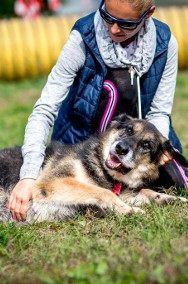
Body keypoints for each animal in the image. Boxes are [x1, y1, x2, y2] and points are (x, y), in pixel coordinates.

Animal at [0, 114, 188, 223]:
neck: (106, 172)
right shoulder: (50, 183)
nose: (120, 149)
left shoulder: (126, 193)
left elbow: (148, 192)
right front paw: (129, 210)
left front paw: (172, 199)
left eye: (146, 144)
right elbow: (104, 192)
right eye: (129, 129)